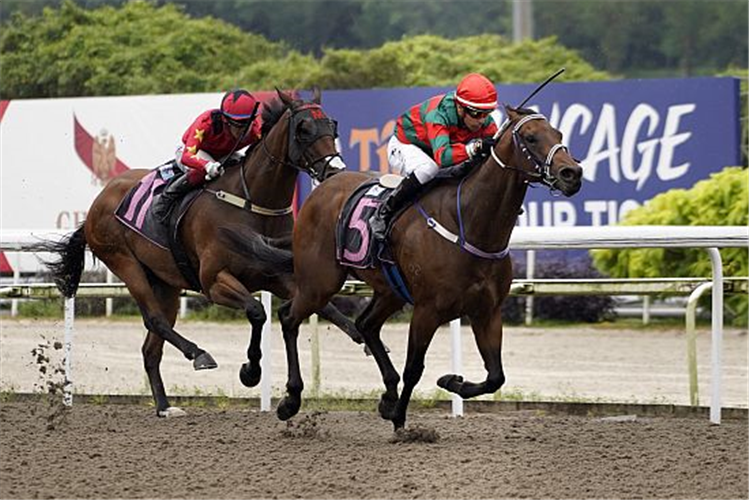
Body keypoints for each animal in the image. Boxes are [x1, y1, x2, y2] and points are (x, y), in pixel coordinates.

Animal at [38, 88, 362, 416]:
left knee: (151, 348)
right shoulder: (214, 281)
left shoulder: (278, 276)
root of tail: (98, 202)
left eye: (332, 127)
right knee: (154, 319)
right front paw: (250, 371)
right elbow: (256, 312)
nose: (335, 171)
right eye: (303, 129)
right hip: (124, 263)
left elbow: (323, 305)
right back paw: (198, 354)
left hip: (164, 282)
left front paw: (358, 332)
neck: (253, 203)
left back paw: (165, 406)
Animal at [243, 103, 580, 428]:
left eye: (559, 133)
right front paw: (400, 419)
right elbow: (414, 368)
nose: (572, 173)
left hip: (388, 290)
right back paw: (288, 398)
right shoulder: (427, 310)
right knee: (289, 317)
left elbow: (495, 376)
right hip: (320, 282)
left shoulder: (487, 311)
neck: (470, 224)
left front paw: (449, 381)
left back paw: (387, 394)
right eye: (531, 138)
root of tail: (323, 187)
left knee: (365, 324)